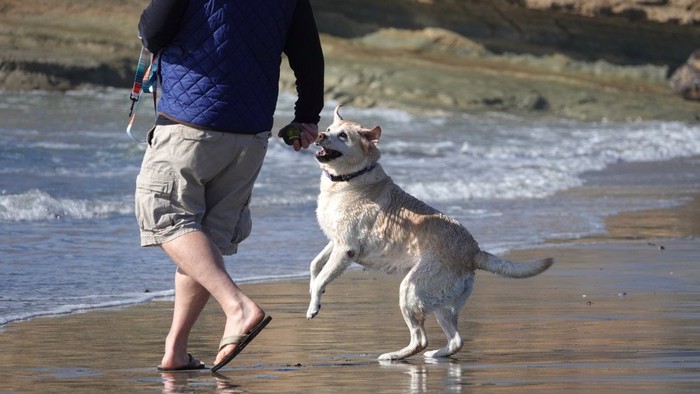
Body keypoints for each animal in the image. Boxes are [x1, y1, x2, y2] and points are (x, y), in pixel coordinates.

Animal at [306, 105, 552, 360]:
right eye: (328, 129)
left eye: (343, 136)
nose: (319, 135)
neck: (349, 179)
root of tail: (473, 251)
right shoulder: (335, 241)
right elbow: (315, 266)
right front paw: (314, 295)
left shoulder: (346, 248)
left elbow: (322, 275)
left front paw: (313, 307)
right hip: (440, 302)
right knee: (456, 339)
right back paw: (436, 355)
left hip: (410, 291)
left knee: (420, 339)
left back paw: (394, 356)